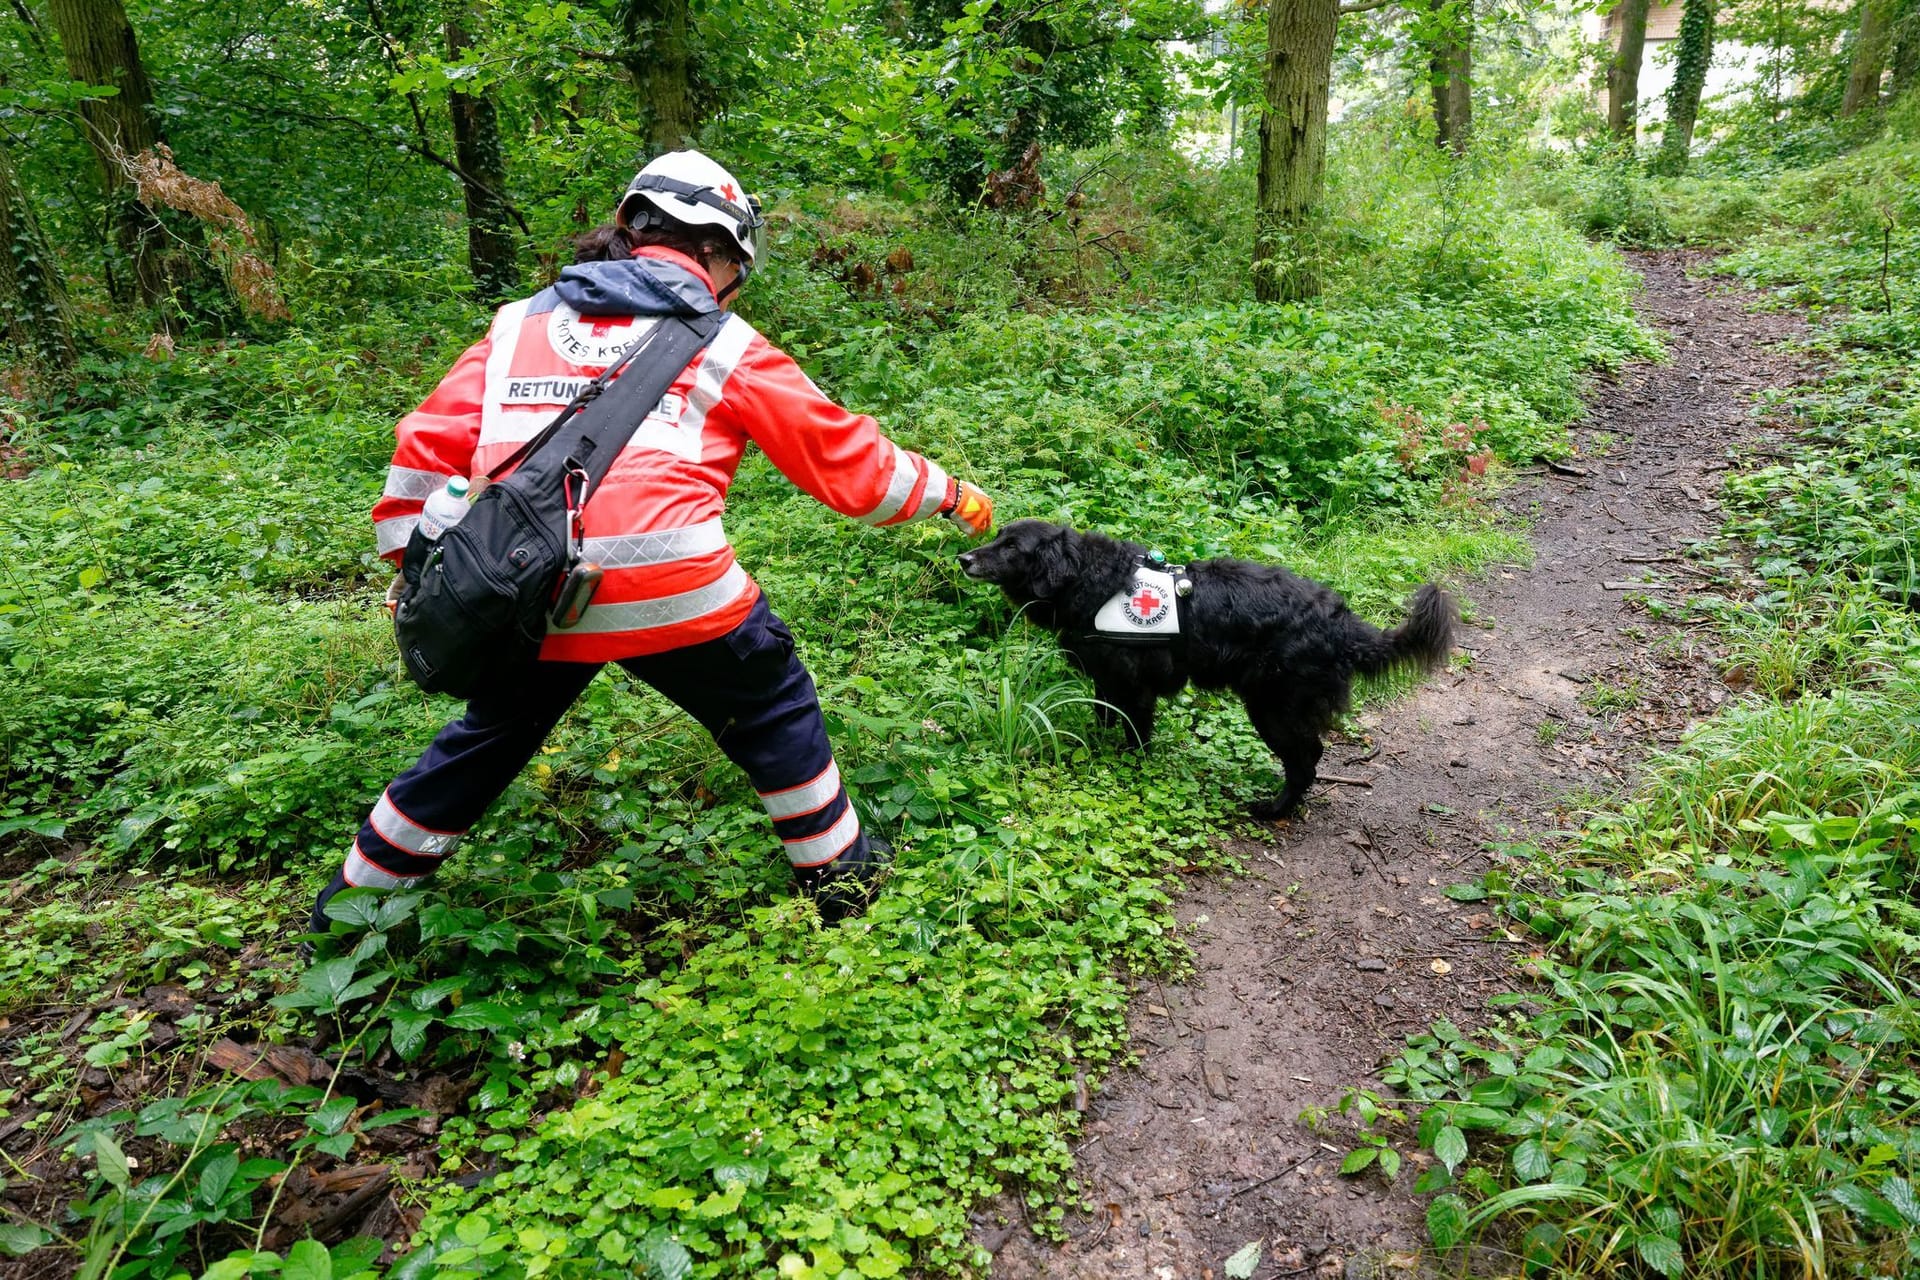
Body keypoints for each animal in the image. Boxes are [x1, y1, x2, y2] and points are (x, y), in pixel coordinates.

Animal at [960, 514, 1451, 817]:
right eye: (996, 535)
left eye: (1011, 547)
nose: (963, 559)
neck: (1088, 580)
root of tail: (1343, 623)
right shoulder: (1106, 680)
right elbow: (1103, 717)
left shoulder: (1137, 688)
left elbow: (1136, 738)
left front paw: (1128, 769)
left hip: (1272, 707)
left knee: (1307, 760)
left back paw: (1274, 809)